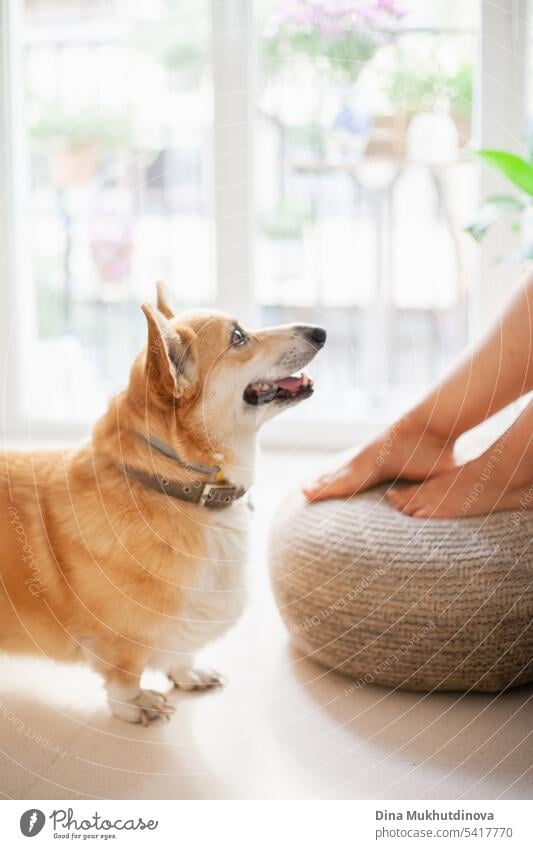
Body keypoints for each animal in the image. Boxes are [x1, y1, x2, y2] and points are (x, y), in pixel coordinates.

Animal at [0, 284, 324, 724]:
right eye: (239, 337)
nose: (321, 332)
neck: (179, 486)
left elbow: (178, 652)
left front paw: (187, 673)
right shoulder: (122, 640)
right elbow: (124, 676)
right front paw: (136, 705)